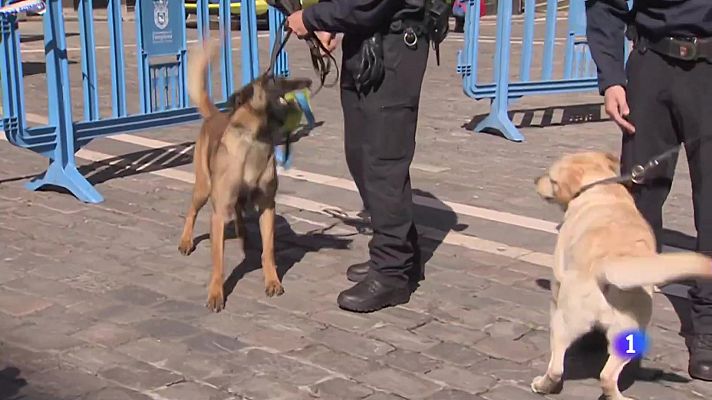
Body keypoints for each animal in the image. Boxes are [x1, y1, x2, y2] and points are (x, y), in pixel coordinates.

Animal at [178, 41, 312, 312]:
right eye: (273, 80)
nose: (310, 81)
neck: (254, 141)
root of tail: (214, 116)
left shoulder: (267, 206)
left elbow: (268, 250)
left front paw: (272, 281)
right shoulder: (219, 213)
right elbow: (218, 261)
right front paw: (216, 293)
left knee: (239, 211)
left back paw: (243, 234)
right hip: (204, 188)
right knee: (192, 211)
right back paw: (186, 240)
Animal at [532, 152, 708, 398]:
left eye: (551, 178)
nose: (535, 179)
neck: (600, 187)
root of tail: (607, 266)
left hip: (563, 322)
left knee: (557, 367)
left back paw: (542, 385)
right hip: (630, 332)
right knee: (607, 377)